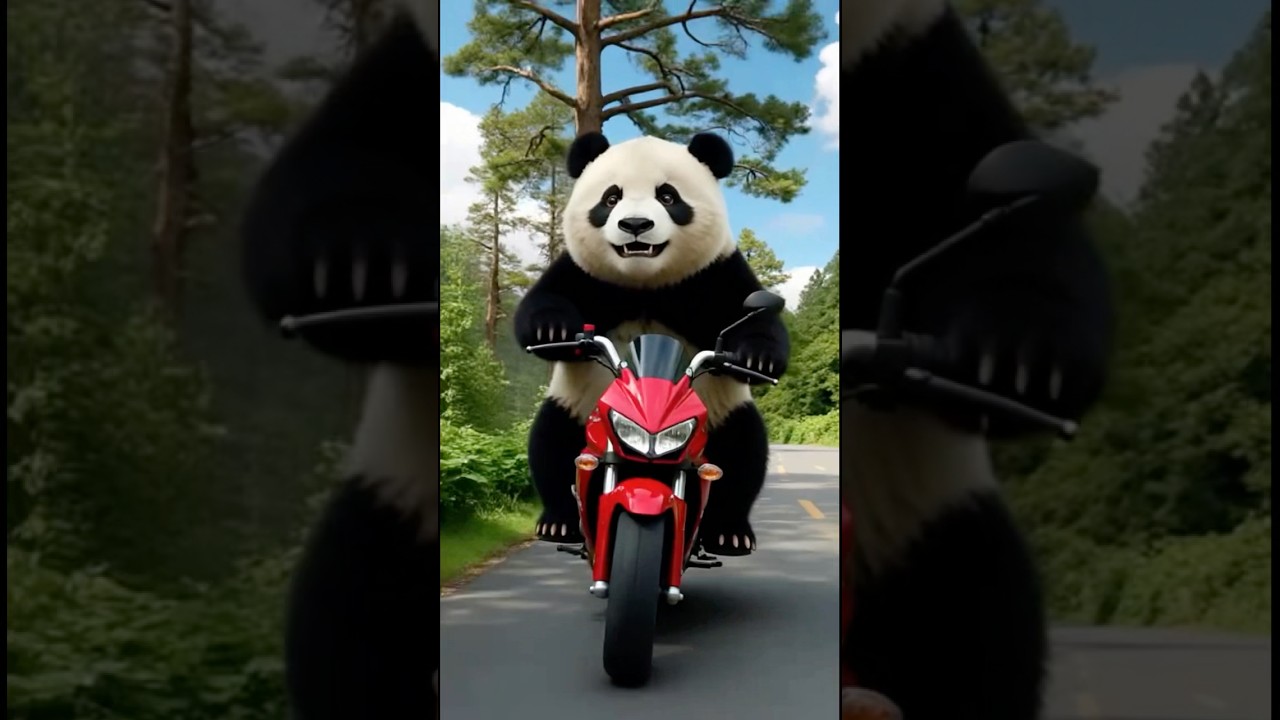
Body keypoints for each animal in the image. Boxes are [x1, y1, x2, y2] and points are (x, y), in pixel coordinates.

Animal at [515, 131, 790, 558]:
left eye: (668, 196)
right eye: (611, 198)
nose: (635, 225)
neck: (644, 283)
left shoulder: (714, 273)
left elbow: (755, 316)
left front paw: (756, 358)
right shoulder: (583, 272)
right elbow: (541, 303)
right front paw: (552, 332)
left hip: (723, 410)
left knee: (744, 449)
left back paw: (729, 533)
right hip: (574, 403)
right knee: (551, 440)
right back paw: (558, 523)